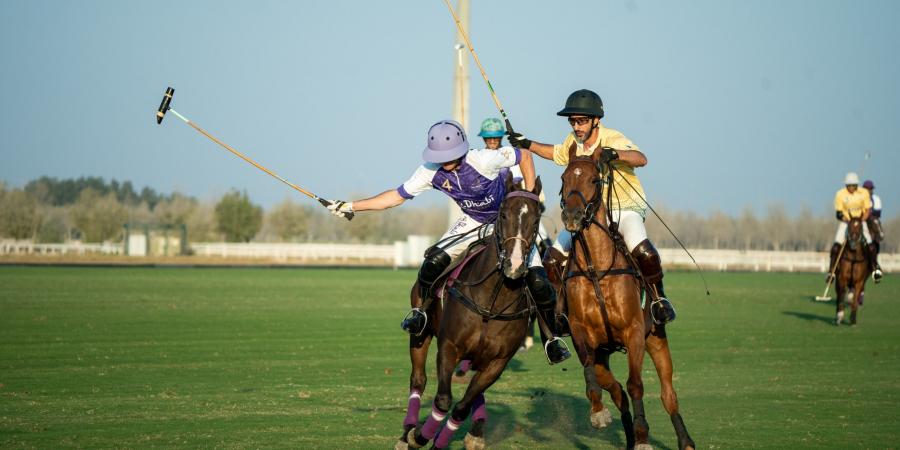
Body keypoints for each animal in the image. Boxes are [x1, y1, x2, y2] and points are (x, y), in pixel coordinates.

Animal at [398, 174, 544, 448]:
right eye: (503, 215)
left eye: (537, 218)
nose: (515, 265)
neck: (491, 304)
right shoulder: (449, 347)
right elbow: (443, 400)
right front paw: (420, 436)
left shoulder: (497, 363)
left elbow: (463, 406)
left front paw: (441, 440)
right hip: (421, 334)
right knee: (418, 379)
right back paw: (407, 432)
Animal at [556, 144, 696, 450]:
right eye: (563, 179)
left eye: (594, 179)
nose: (572, 216)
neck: (596, 269)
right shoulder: (581, 332)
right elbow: (591, 374)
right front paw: (598, 413)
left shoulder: (634, 333)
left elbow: (636, 385)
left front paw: (643, 437)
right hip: (604, 352)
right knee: (615, 388)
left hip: (656, 338)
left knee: (668, 394)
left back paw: (686, 441)